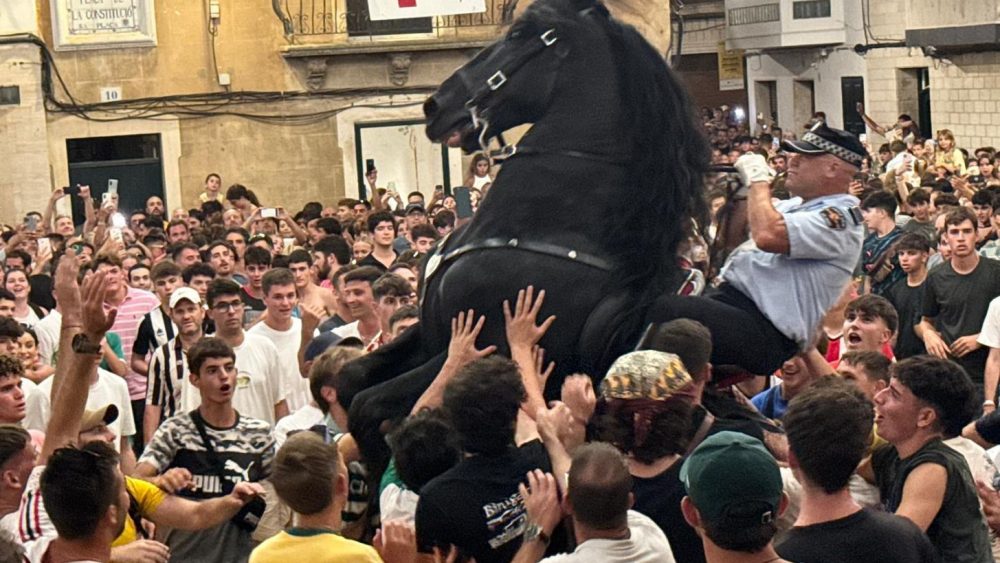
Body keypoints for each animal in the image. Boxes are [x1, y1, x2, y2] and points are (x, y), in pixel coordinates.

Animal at [348, 0, 708, 468]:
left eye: (519, 33)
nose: (434, 105)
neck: (542, 227)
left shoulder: (477, 347)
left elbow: (367, 405)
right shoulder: (431, 336)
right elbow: (352, 375)